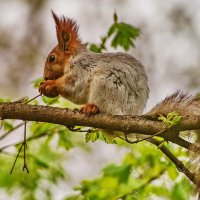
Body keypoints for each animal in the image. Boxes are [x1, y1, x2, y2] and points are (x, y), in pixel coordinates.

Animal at [38, 11, 200, 193]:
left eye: (52, 58)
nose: (45, 76)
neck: (74, 58)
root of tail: (131, 115)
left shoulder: (81, 69)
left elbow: (74, 87)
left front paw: (50, 85)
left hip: (106, 84)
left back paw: (92, 108)